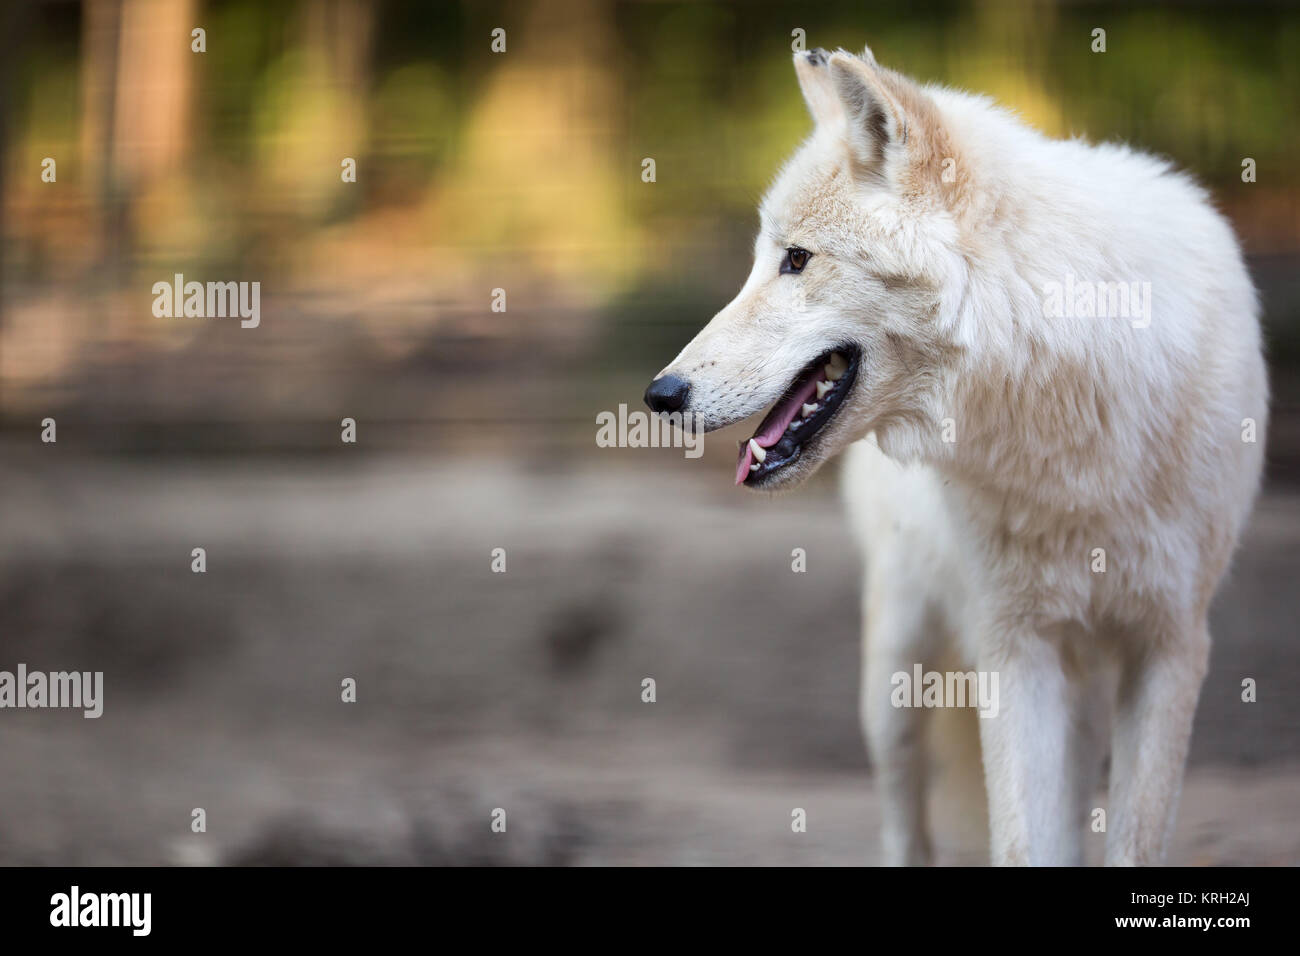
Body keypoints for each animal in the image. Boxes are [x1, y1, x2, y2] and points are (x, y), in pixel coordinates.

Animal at [644, 46, 1263, 868]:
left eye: (797, 259)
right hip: (897, 681)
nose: (660, 393)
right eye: (762, 260)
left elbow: (1131, 838)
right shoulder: (1014, 647)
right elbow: (1022, 842)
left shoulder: (1170, 645)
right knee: (905, 826)